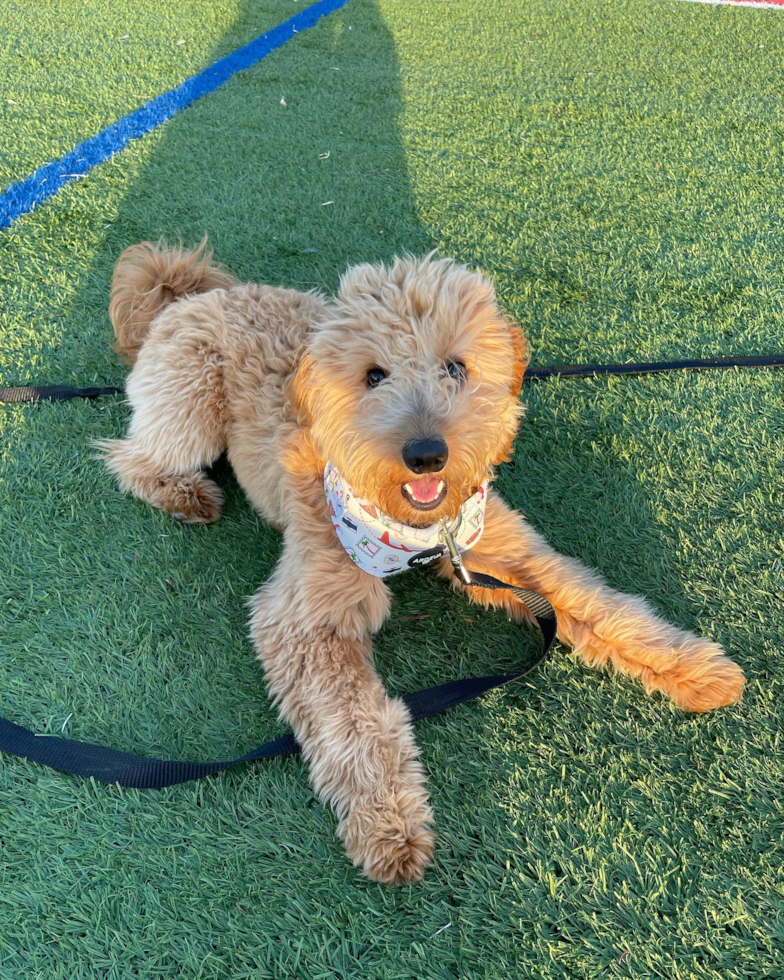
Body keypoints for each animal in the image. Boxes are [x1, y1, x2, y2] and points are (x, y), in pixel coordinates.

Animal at [101, 241, 744, 884]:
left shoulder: (502, 552)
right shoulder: (306, 614)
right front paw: (389, 824)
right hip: (190, 405)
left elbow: (595, 601)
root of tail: (195, 291)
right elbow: (353, 721)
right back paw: (185, 496)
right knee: (131, 456)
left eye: (456, 367)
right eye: (373, 375)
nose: (426, 453)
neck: (415, 529)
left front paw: (694, 669)